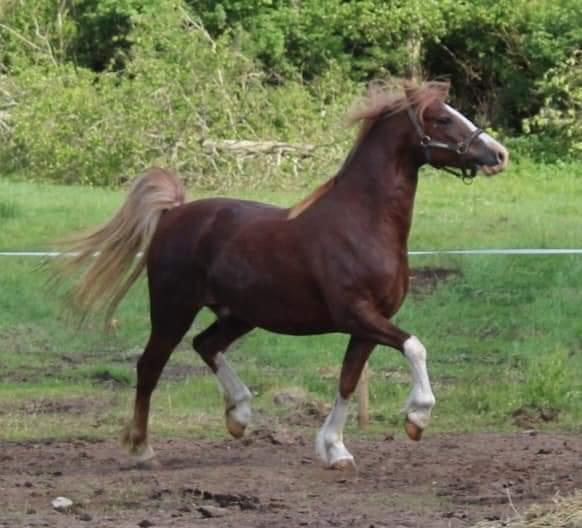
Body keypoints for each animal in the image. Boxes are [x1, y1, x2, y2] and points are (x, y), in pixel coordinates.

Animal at [57, 80, 508, 468]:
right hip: (173, 309)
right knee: (150, 367)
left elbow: (348, 382)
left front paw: (335, 450)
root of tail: (173, 214)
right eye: (442, 118)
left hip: (240, 315)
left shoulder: (367, 326)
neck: (363, 224)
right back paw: (143, 450)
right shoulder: (358, 315)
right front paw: (417, 418)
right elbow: (415, 347)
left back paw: (239, 415)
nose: (498, 154)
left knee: (205, 345)